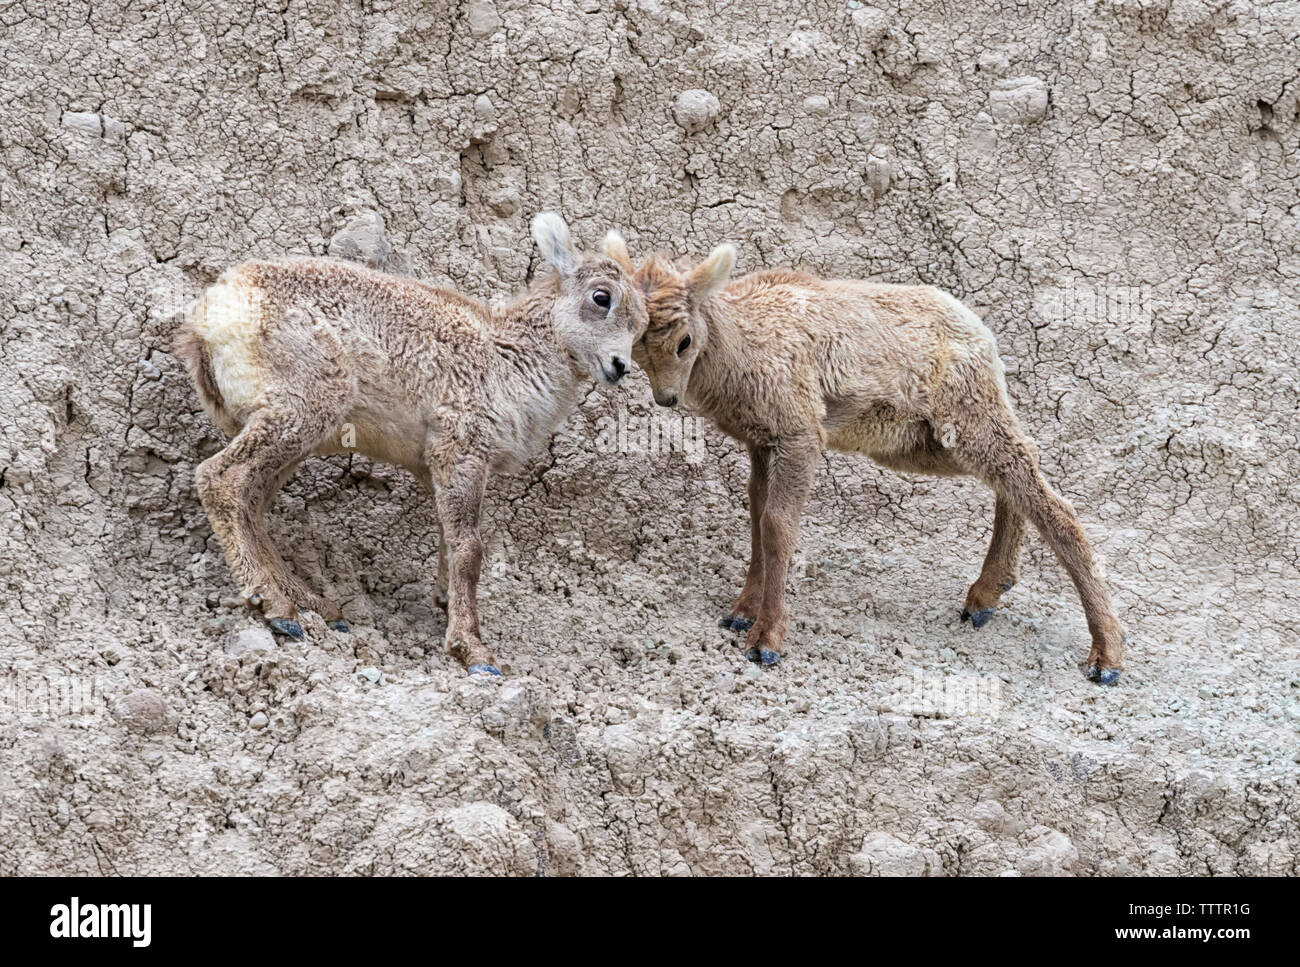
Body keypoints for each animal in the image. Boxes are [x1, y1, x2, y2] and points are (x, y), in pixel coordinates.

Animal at [175, 213, 646, 675]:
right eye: (601, 297)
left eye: (640, 323)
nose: (618, 366)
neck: (507, 357)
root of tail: (210, 315)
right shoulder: (461, 452)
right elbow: (469, 548)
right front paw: (473, 651)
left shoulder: (436, 468)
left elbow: (449, 540)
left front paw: (446, 605)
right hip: (299, 412)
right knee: (221, 478)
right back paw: (275, 605)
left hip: (291, 436)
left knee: (252, 504)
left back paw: (314, 606)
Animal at [603, 234, 1125, 684]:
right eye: (637, 342)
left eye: (684, 340)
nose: (667, 398)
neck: (744, 346)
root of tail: (984, 335)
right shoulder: (761, 443)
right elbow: (756, 518)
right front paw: (739, 614)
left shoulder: (800, 436)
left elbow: (777, 526)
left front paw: (766, 642)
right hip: (927, 443)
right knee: (1020, 471)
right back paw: (985, 598)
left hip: (964, 422)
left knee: (1052, 501)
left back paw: (1106, 658)